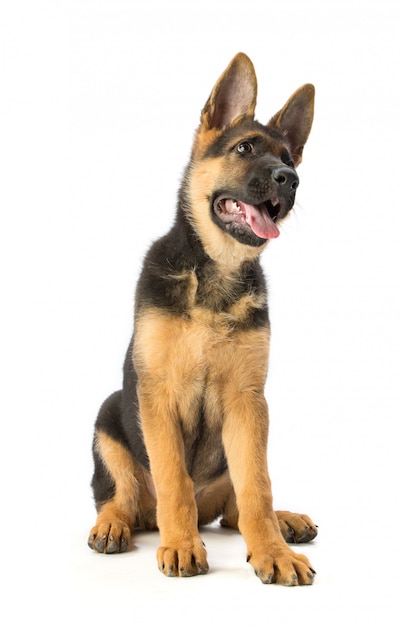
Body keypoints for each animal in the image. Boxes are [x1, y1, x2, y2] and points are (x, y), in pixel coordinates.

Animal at [89, 53, 318, 584]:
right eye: (244, 148)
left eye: (289, 157)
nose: (290, 178)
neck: (216, 272)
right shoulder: (156, 394)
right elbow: (173, 480)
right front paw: (181, 545)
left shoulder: (248, 401)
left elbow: (258, 488)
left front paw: (272, 550)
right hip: (109, 419)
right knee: (120, 494)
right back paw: (113, 525)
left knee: (236, 509)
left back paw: (285, 521)